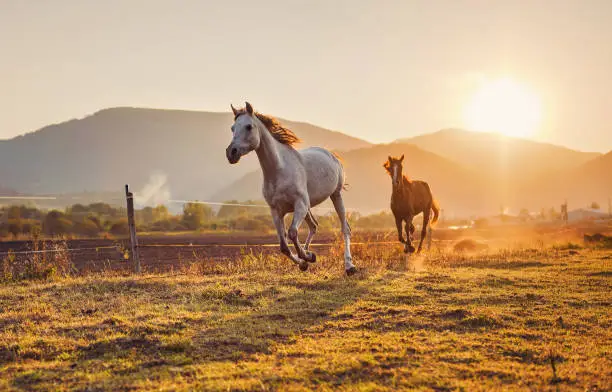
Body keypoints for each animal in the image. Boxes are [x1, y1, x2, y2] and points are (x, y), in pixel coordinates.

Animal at [227, 103, 356, 276]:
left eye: (248, 126)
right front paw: (305, 261)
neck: (279, 170)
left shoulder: (299, 205)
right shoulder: (276, 211)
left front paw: (308, 257)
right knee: (314, 226)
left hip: (335, 196)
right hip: (309, 207)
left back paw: (349, 266)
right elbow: (283, 246)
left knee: (345, 228)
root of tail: (332, 155)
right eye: (233, 128)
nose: (231, 153)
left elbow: (293, 233)